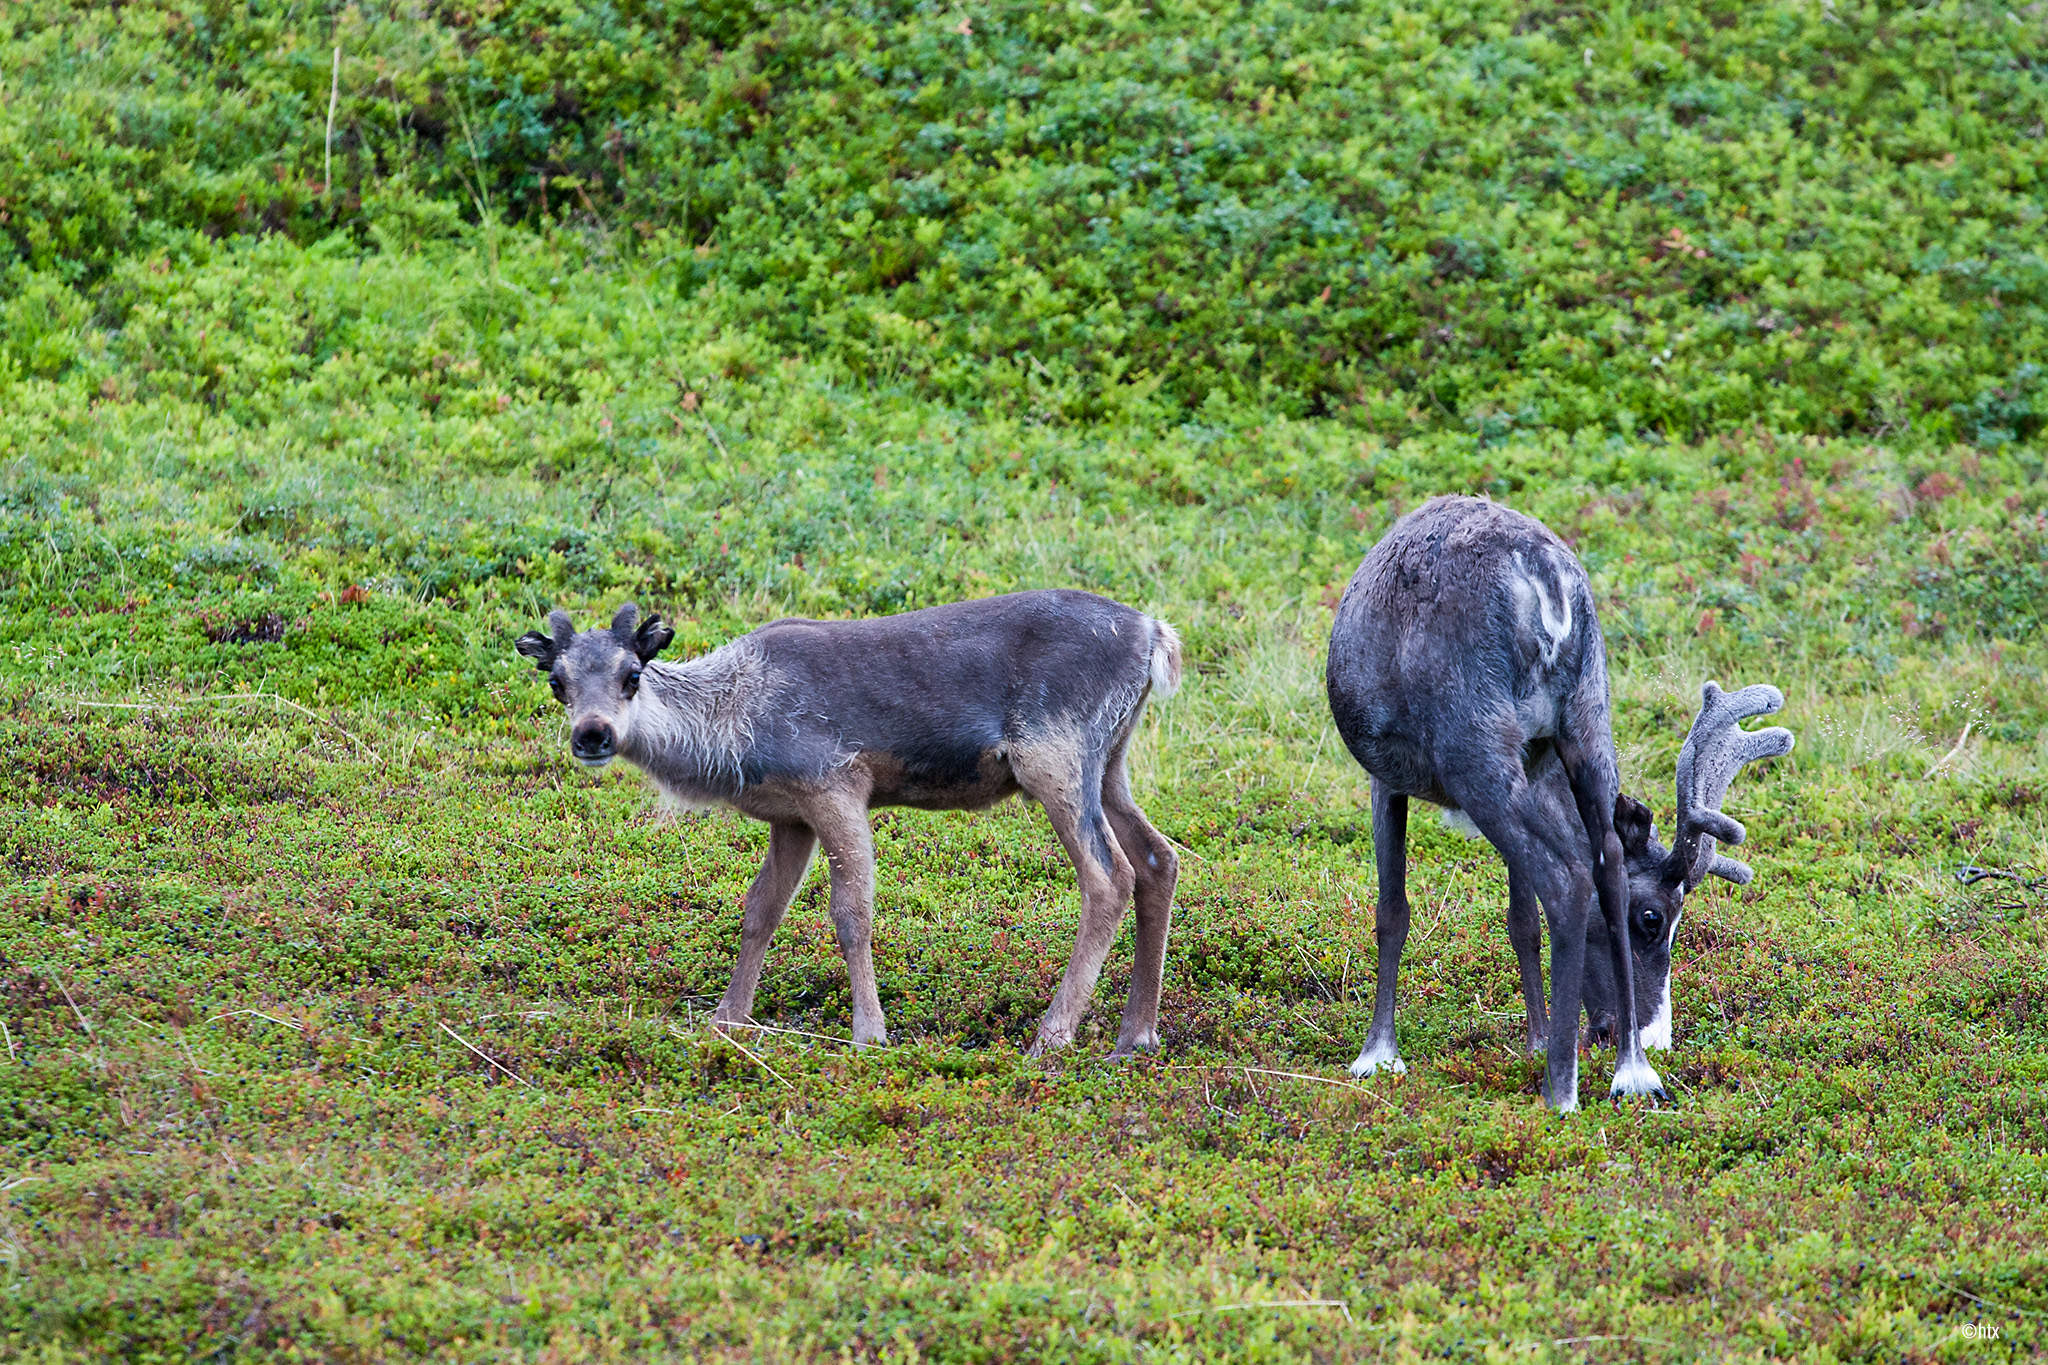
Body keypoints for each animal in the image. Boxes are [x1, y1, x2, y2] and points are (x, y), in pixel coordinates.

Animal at [514, 590, 1184, 1057]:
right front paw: (727, 1019)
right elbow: (761, 909)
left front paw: (869, 1032)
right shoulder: (791, 816)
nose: (592, 734)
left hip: (1055, 756)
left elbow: (851, 913)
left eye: (632, 675)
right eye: (557, 682)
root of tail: (1154, 635)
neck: (734, 734)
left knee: (1109, 876)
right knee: (1159, 858)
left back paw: (1051, 1035)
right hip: (1111, 761)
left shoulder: (835, 784)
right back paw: (1136, 1036)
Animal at [1324, 496, 1792, 1111]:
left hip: (1474, 750)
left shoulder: (1386, 776)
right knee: (1606, 862)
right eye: (1653, 918)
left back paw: (1562, 1088)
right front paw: (1536, 1038)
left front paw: (1377, 1055)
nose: (1657, 1037)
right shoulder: (1535, 765)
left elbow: (1392, 912)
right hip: (1589, 720)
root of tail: (1542, 576)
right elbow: (1522, 917)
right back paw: (1632, 1073)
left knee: (1567, 880)